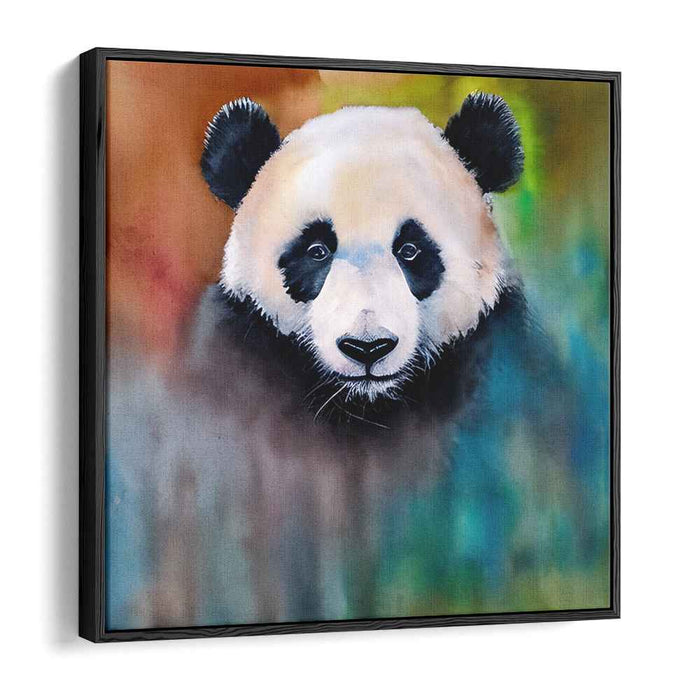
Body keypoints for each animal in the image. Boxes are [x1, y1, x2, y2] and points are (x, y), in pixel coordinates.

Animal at [106, 94, 591, 630]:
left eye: (411, 250)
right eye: (317, 249)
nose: (367, 348)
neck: (364, 407)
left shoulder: (498, 362)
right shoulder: (234, 362)